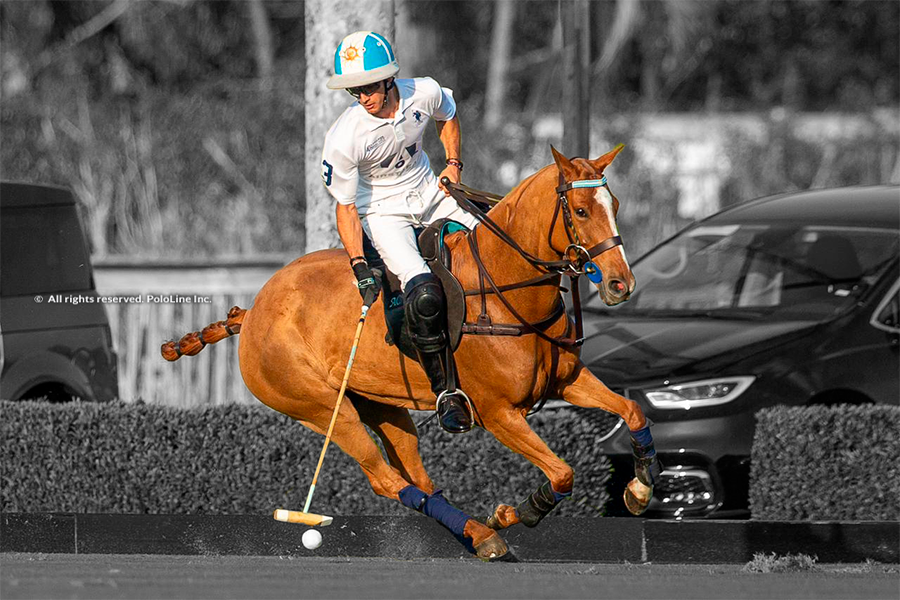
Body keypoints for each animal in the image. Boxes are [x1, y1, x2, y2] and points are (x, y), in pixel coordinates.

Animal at [161, 145, 659, 561]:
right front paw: (518, 512)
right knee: (385, 478)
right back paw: (485, 533)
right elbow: (561, 474)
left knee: (418, 479)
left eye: (614, 206)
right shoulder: (499, 412)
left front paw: (638, 489)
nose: (621, 284)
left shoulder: (568, 380)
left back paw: (478, 533)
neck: (505, 289)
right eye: (580, 210)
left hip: (381, 404)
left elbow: (633, 412)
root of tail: (252, 311)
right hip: (319, 407)